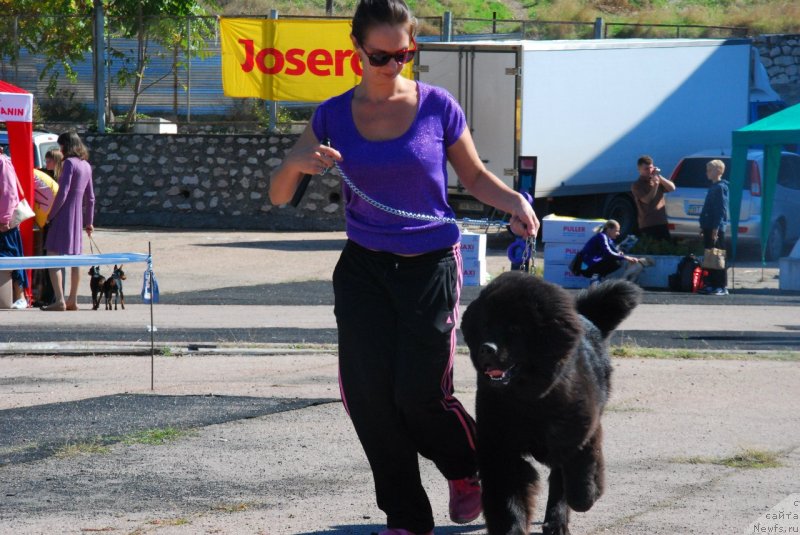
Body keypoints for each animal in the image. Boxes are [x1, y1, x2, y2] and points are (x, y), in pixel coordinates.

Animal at [460, 272, 640, 535]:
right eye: (485, 326)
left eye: (514, 328)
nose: (486, 349)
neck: (529, 402)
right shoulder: (500, 447)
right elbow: (508, 499)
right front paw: (512, 529)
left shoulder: (579, 434)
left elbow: (579, 481)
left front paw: (589, 495)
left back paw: (557, 522)